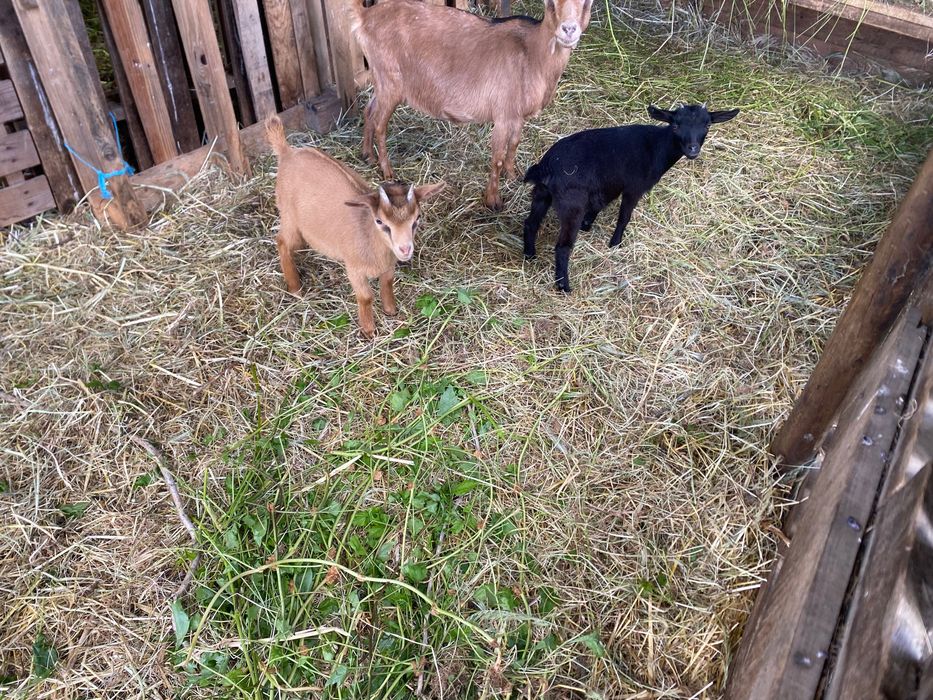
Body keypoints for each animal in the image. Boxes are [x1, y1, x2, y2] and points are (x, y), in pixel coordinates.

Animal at [266, 115, 444, 337]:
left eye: (417, 218)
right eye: (380, 221)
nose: (405, 249)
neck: (370, 237)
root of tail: (287, 152)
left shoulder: (389, 265)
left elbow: (387, 284)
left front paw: (391, 311)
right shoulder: (354, 268)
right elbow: (366, 297)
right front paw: (369, 330)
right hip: (289, 216)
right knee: (282, 242)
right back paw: (295, 287)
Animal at [350, 0, 592, 211]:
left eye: (586, 3)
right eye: (550, 3)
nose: (569, 29)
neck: (532, 54)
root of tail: (364, 16)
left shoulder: (517, 115)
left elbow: (514, 144)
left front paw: (513, 176)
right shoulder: (503, 115)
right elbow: (497, 157)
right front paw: (493, 201)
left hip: (381, 82)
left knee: (369, 110)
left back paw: (367, 155)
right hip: (390, 82)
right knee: (380, 124)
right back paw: (387, 172)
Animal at [522, 104, 740, 292]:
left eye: (707, 124)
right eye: (676, 125)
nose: (692, 150)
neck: (657, 148)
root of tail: (546, 167)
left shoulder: (610, 185)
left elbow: (599, 205)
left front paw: (588, 225)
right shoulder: (634, 188)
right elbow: (623, 217)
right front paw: (615, 243)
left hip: (542, 194)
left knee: (531, 223)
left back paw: (530, 255)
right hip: (571, 204)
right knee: (562, 246)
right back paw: (564, 286)